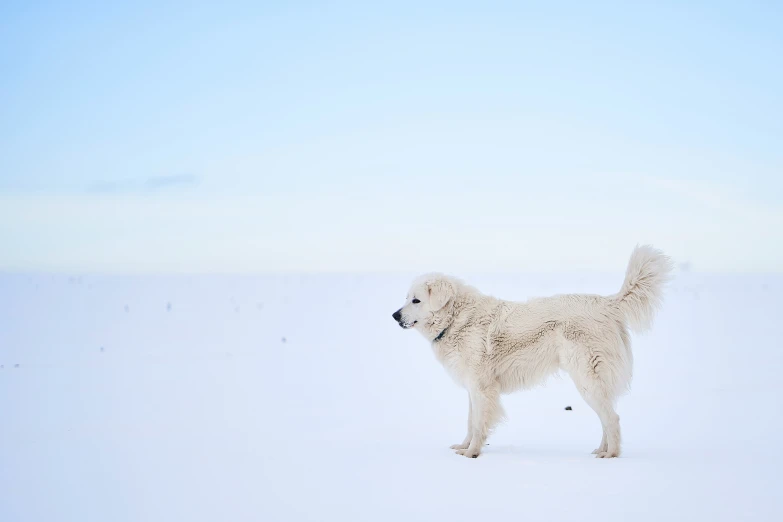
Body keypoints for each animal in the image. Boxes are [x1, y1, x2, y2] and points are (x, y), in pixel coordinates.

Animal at [392, 244, 672, 456]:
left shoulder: (482, 387)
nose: (394, 316)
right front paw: (463, 447)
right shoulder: (473, 388)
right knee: (607, 418)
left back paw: (610, 455)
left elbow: (479, 424)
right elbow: (471, 422)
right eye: (406, 298)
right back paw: (600, 451)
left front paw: (471, 453)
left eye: (416, 300)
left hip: (587, 379)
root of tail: (607, 303)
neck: (457, 319)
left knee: (612, 419)